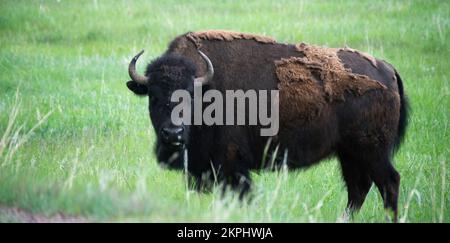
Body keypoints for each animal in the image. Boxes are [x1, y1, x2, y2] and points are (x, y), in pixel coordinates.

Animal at [125, 29, 408, 220]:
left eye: (190, 95)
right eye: (153, 96)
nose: (173, 134)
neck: (208, 87)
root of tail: (388, 70)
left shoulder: (231, 167)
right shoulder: (202, 170)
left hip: (372, 152)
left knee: (388, 183)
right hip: (349, 154)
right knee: (358, 189)